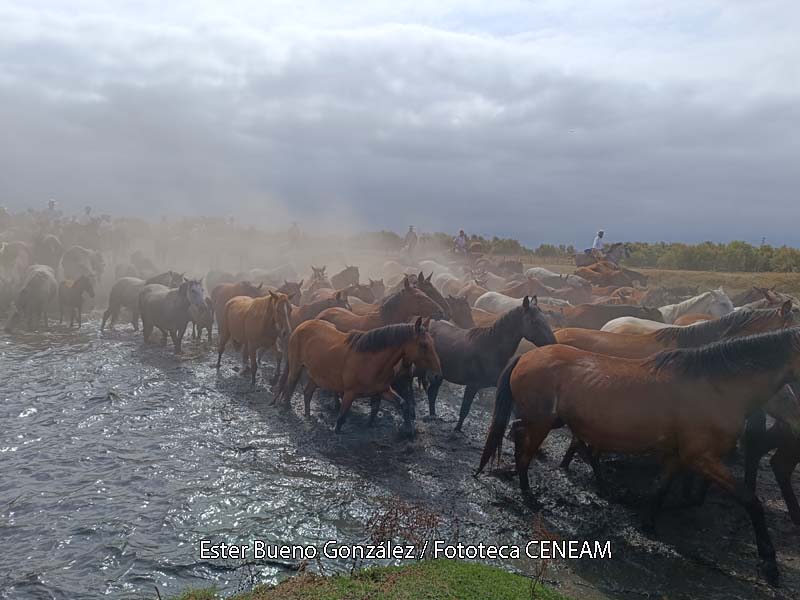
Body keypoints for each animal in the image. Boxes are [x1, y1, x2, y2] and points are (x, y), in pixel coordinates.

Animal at [276, 316, 444, 434]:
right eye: (423, 345)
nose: (438, 374)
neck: (371, 361)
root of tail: (302, 325)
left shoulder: (383, 390)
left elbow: (401, 404)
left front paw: (408, 430)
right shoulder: (350, 393)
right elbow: (341, 418)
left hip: (316, 376)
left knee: (307, 392)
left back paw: (308, 416)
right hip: (296, 368)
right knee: (291, 386)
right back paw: (287, 407)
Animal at [476, 330, 800, 584]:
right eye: (788, 393)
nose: (794, 421)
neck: (716, 387)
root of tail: (527, 356)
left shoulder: (678, 455)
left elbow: (660, 488)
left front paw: (648, 524)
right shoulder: (702, 457)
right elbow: (750, 500)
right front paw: (769, 563)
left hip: (547, 420)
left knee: (519, 433)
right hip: (543, 421)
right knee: (525, 449)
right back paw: (528, 494)